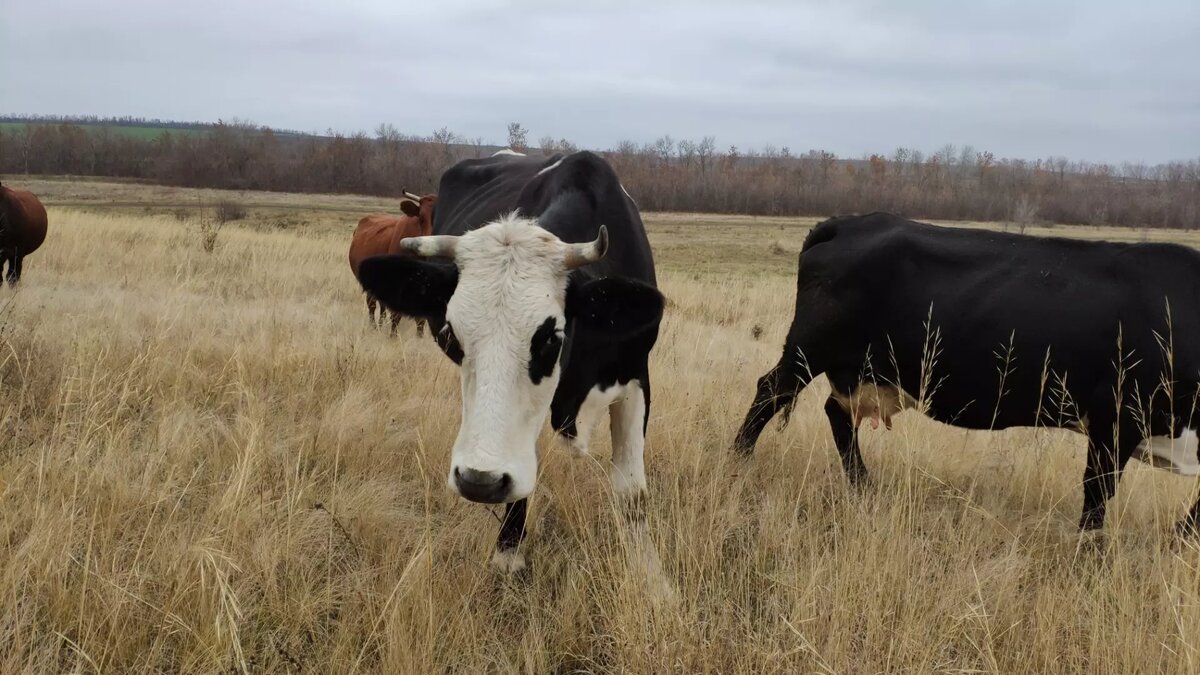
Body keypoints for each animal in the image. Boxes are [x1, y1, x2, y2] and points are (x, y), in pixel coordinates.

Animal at [348, 190, 436, 333]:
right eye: (421, 218)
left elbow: (421, 319)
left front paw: (419, 336)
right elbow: (396, 315)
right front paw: (393, 335)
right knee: (372, 305)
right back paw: (374, 327)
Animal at [360, 149, 672, 569]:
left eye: (551, 338)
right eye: (452, 335)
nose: (478, 481)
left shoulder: (637, 375)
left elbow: (631, 491)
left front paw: (649, 572)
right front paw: (508, 553)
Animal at [729, 212, 1200, 533]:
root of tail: (850, 223)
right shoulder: (1116, 415)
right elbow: (1098, 493)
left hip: (861, 370)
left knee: (836, 414)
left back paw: (864, 488)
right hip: (808, 349)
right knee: (770, 392)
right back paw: (738, 462)